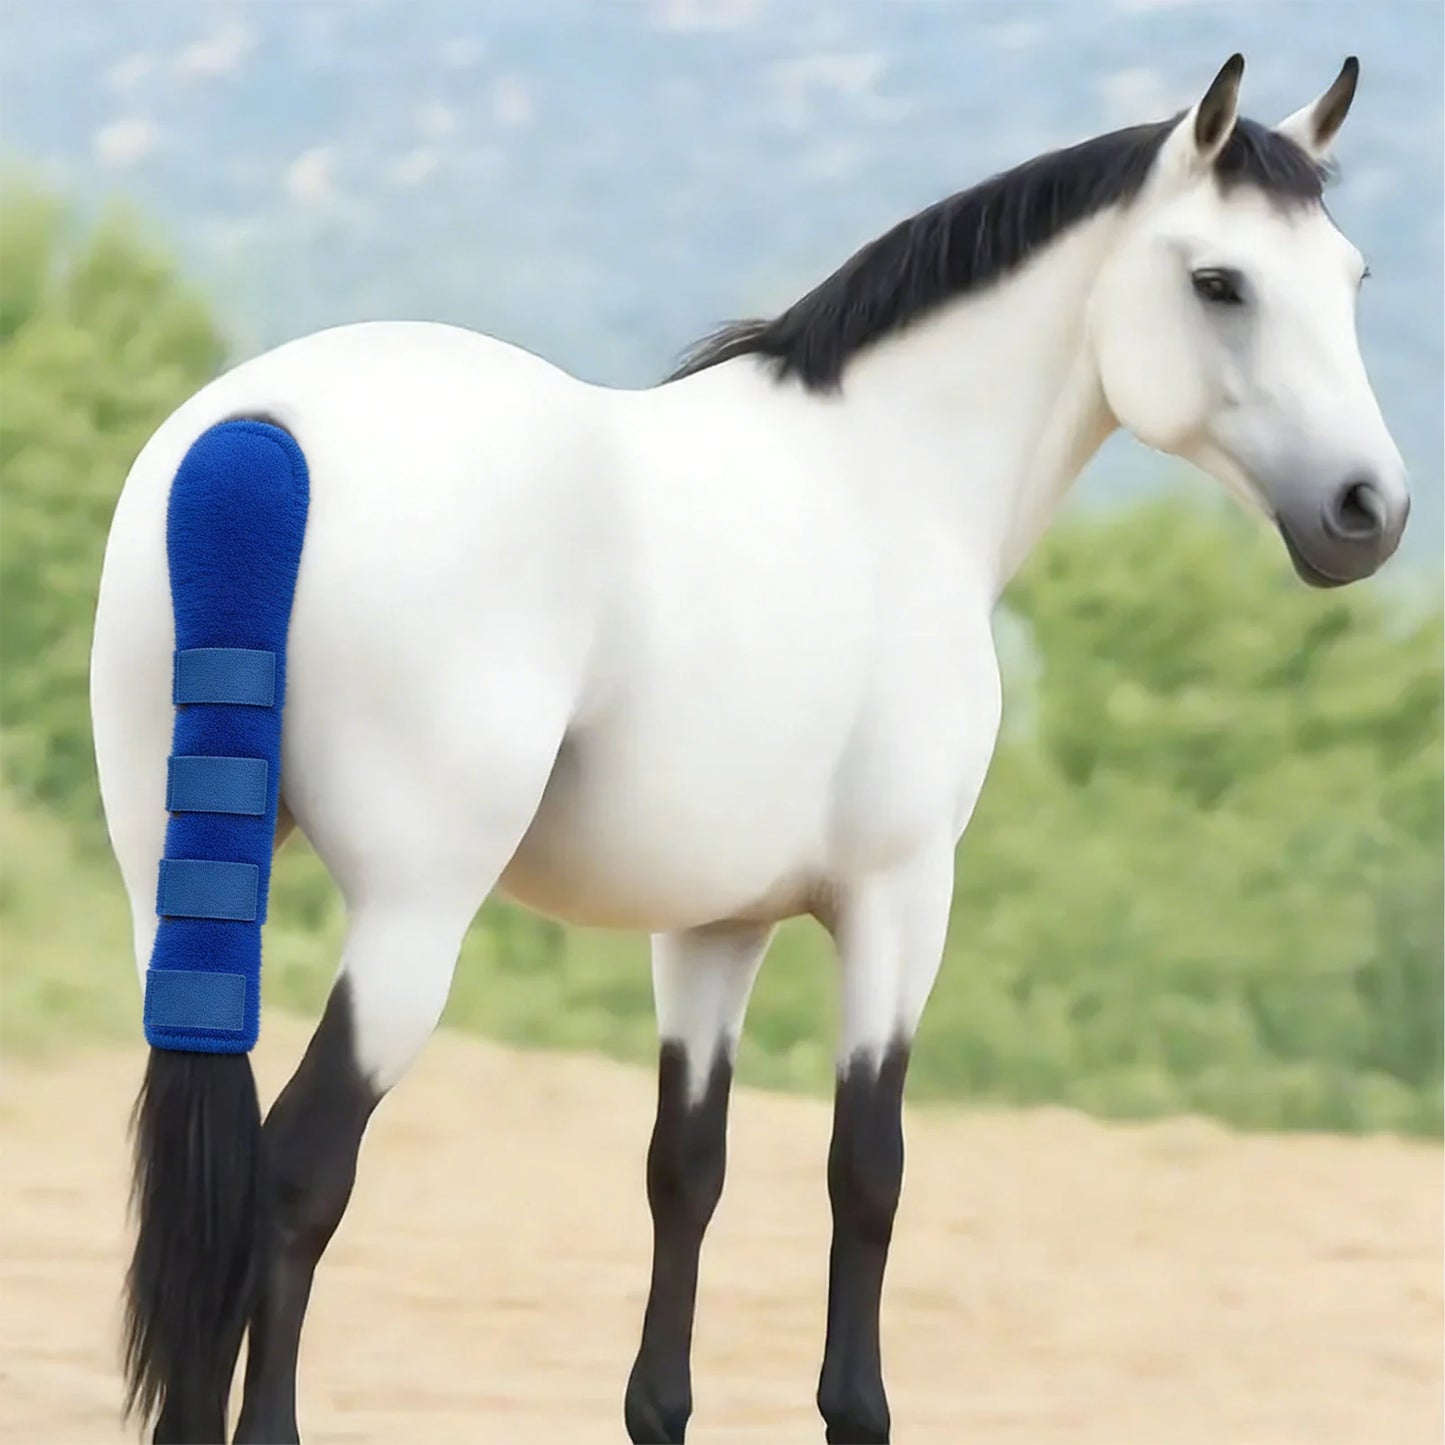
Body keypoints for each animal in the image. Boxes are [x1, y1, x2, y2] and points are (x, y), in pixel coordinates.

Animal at [91, 53, 1407, 1444]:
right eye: (1218, 282)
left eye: (1350, 277)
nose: (1366, 511)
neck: (889, 474)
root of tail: (257, 431)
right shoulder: (898, 898)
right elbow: (865, 1167)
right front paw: (856, 1406)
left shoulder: (710, 929)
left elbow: (685, 1169)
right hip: (410, 918)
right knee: (297, 1173)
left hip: (168, 894)